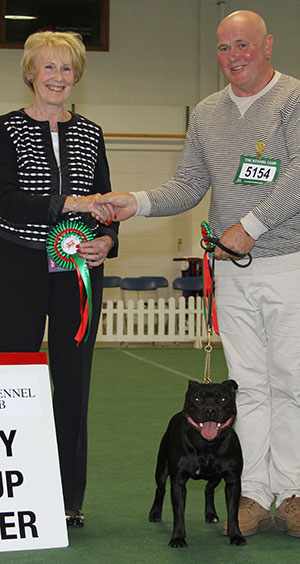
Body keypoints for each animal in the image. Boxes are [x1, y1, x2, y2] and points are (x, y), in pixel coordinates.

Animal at [149, 378, 247, 548]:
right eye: (196, 399)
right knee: (160, 489)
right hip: (161, 469)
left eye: (223, 399)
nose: (210, 410)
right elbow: (178, 513)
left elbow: (233, 511)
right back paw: (155, 513)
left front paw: (235, 535)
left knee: (209, 489)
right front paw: (178, 538)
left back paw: (211, 514)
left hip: (215, 477)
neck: (207, 447)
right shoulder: (178, 482)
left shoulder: (233, 481)